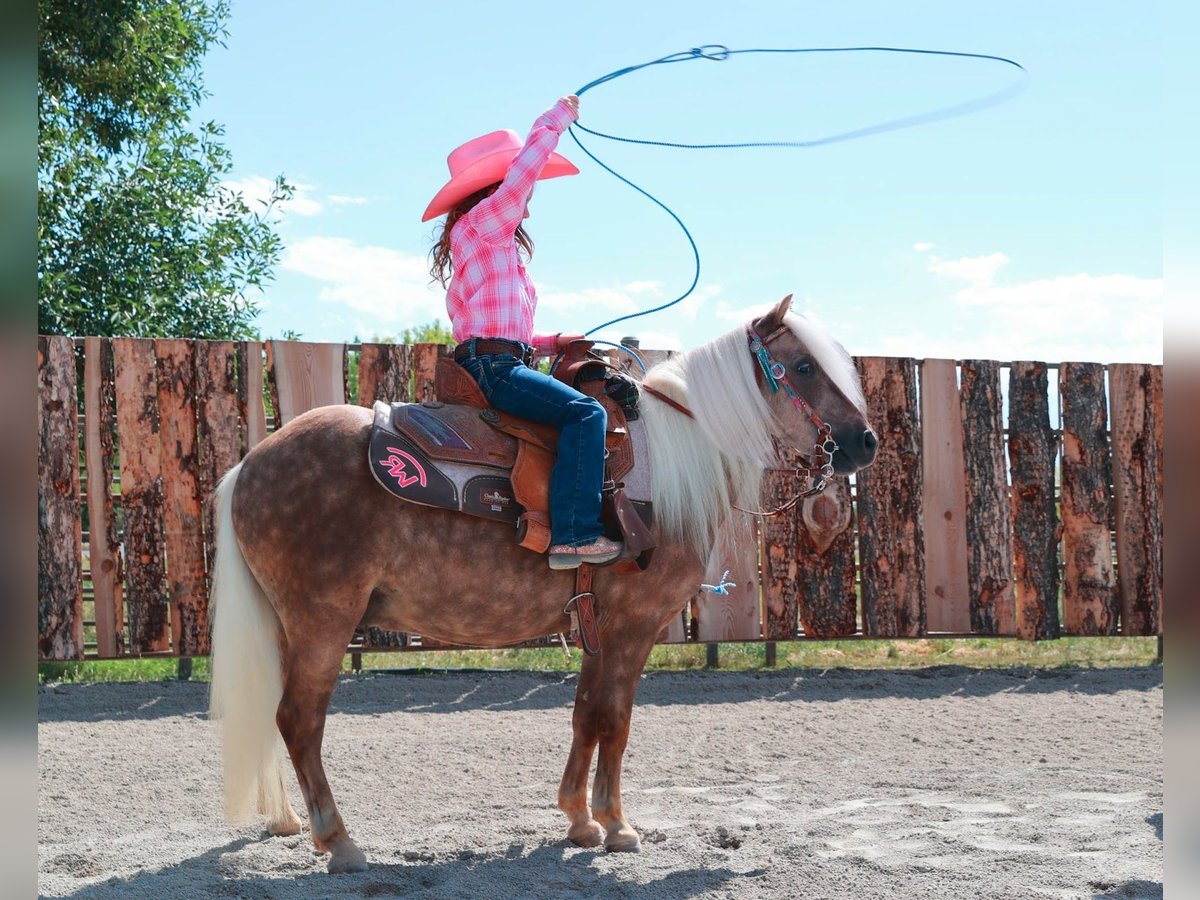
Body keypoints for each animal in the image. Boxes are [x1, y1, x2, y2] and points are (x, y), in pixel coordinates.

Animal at [208, 294, 877, 873]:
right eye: (802, 366)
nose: (863, 443)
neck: (668, 465)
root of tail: (249, 463)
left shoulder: (596, 623)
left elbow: (584, 714)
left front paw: (580, 820)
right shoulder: (634, 626)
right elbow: (615, 718)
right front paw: (618, 825)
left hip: (288, 626)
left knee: (277, 715)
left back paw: (287, 821)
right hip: (324, 620)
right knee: (300, 720)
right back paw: (340, 841)